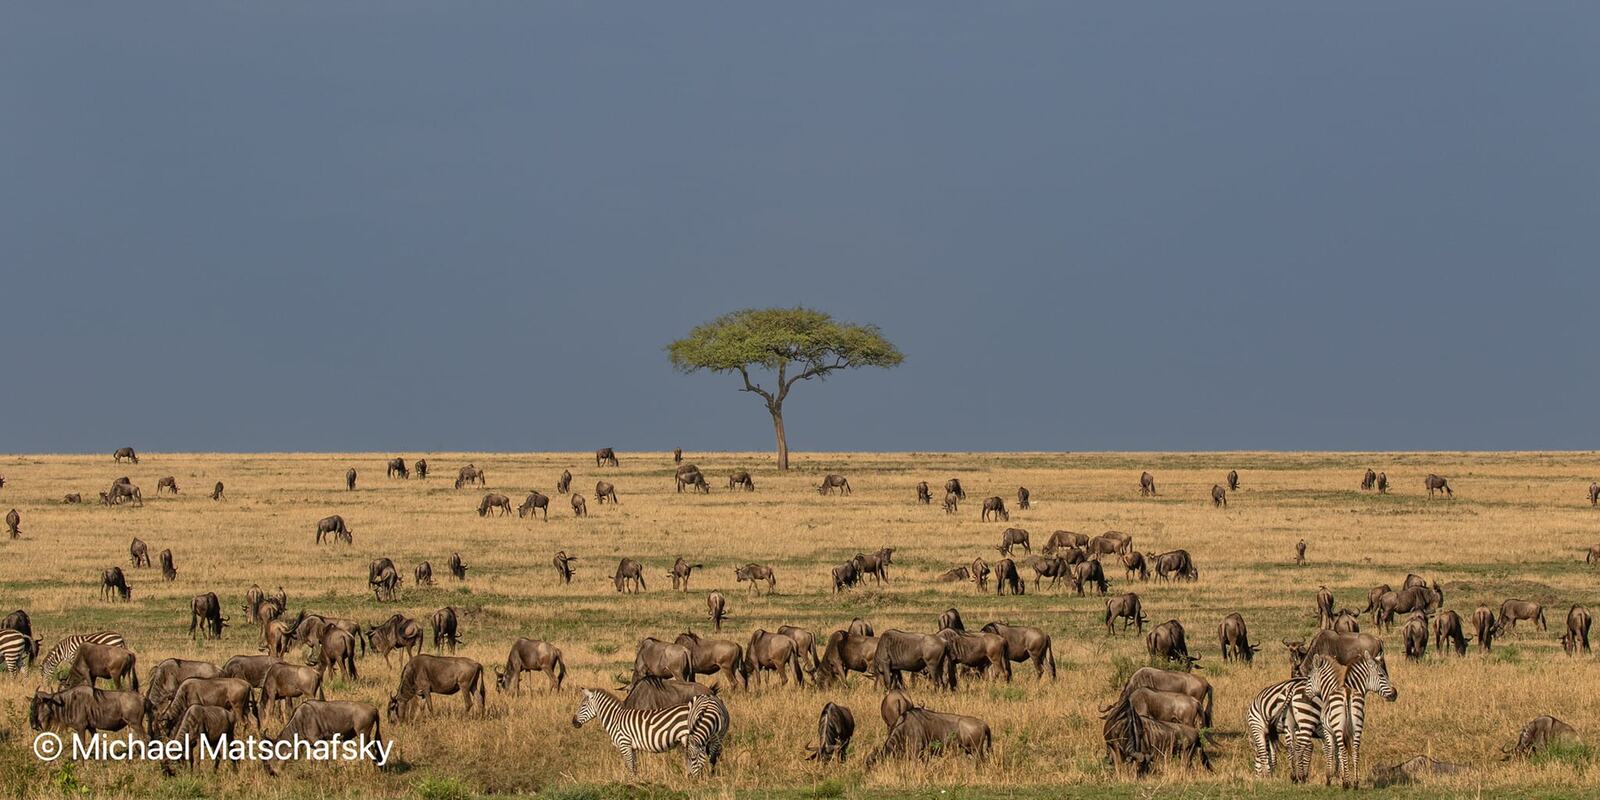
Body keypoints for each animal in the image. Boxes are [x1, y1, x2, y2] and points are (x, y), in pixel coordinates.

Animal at [571, 687, 726, 775]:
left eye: (582, 706)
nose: (573, 722)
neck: (615, 719)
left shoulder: (624, 744)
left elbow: (629, 766)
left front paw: (631, 783)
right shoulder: (632, 747)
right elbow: (634, 766)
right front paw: (637, 781)